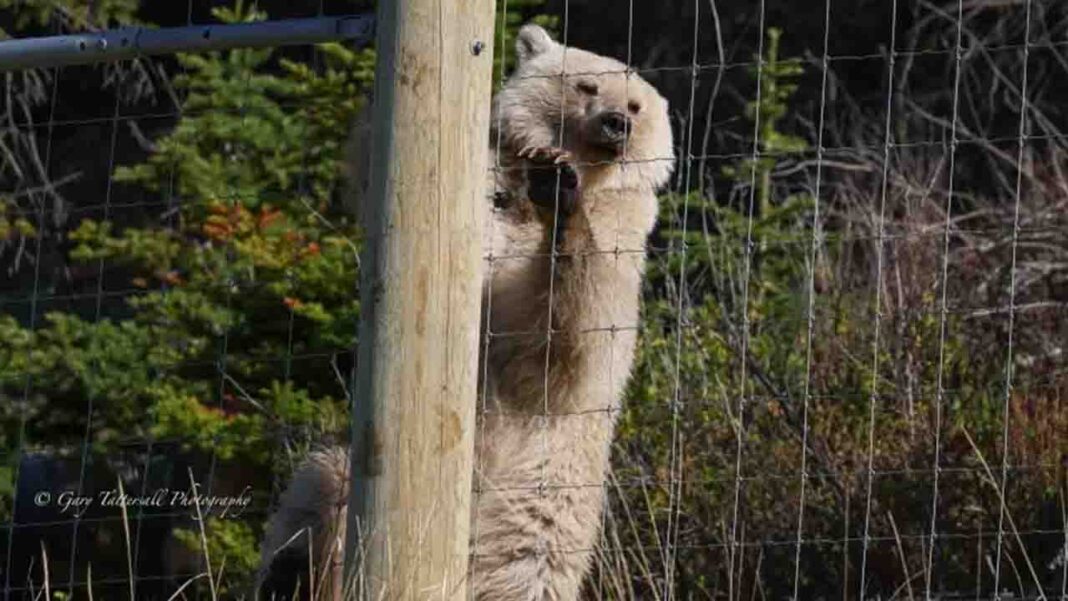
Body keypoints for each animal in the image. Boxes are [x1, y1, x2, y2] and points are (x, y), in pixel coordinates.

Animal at [256, 24, 675, 601]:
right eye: (587, 85)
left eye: (636, 103)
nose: (619, 122)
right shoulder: (487, 186)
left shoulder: (623, 234)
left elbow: (567, 347)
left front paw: (560, 195)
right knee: (321, 492)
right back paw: (289, 571)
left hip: (532, 527)